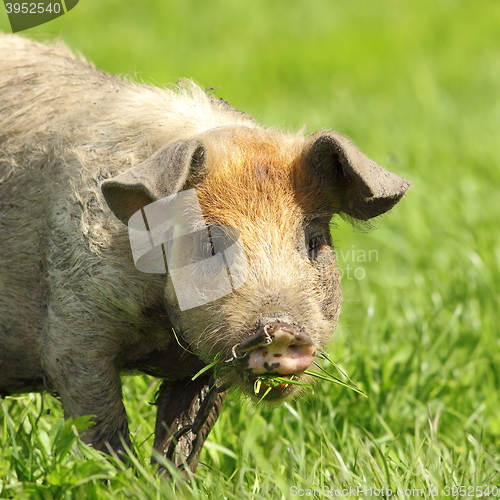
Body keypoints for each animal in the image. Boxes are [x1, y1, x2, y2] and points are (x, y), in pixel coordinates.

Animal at [0, 33, 410, 470]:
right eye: (209, 242)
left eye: (314, 240)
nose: (281, 330)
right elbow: (103, 428)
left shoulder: (203, 368)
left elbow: (183, 438)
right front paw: (119, 477)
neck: (161, 329)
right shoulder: (73, 334)